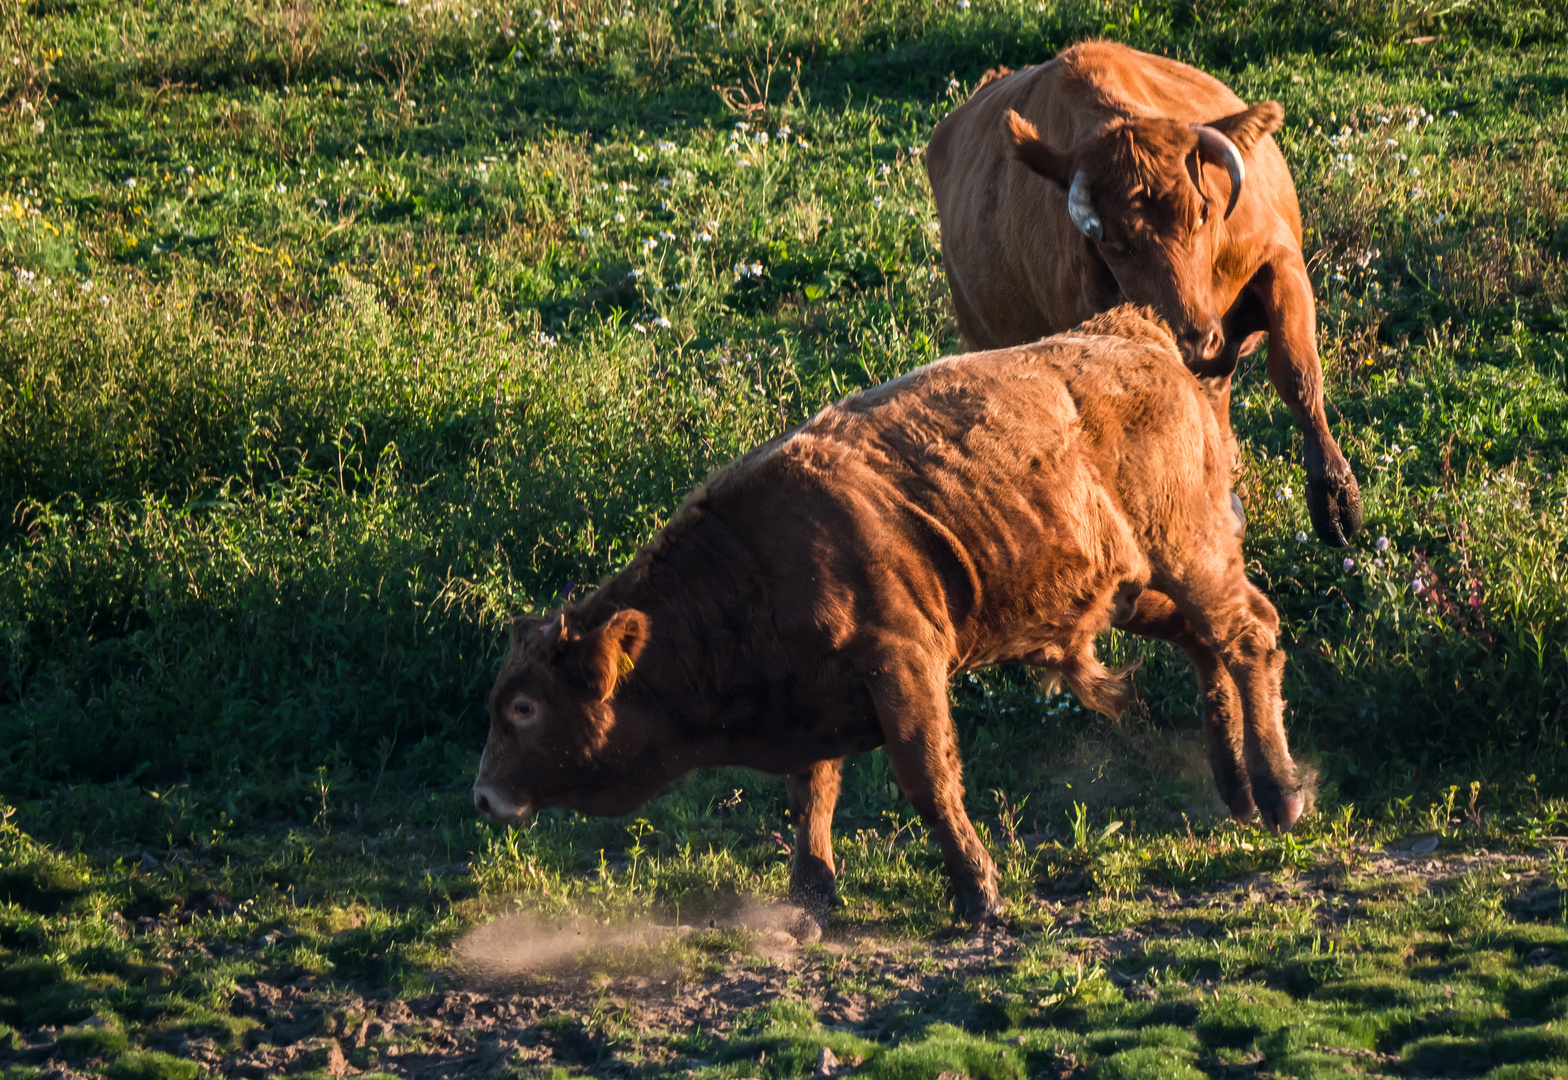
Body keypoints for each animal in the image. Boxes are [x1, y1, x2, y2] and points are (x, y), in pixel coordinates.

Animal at [470, 305, 1304, 927]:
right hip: (1137, 588)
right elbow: (811, 796)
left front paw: (979, 895)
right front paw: (809, 900)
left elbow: (927, 780)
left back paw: (1281, 794)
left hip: (1189, 554)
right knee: (1207, 643)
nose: (482, 796)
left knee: (1249, 637)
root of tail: (1138, 337)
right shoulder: (810, 703)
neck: (752, 565)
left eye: (524, 707)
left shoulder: (903, 666)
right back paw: (1237, 792)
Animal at [928, 42, 1361, 548]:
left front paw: (1336, 499)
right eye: (1109, 239)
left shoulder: (1280, 261)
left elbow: (1297, 372)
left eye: (1202, 212)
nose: (1194, 340)